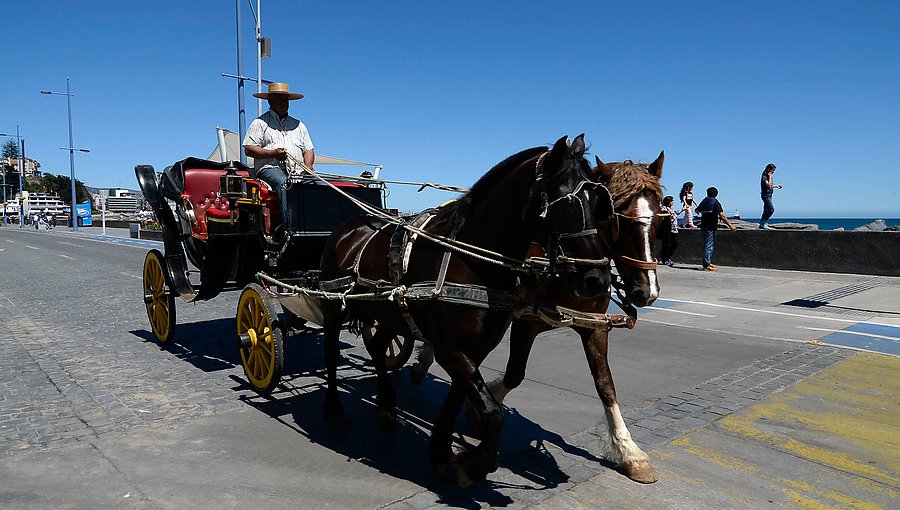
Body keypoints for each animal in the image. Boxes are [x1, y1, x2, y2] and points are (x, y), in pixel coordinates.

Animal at [316, 135, 612, 486]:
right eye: (562, 202)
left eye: (598, 203)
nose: (597, 278)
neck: (472, 262)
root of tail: (347, 228)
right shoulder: (450, 349)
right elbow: (492, 413)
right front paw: (475, 464)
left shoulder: (476, 349)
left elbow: (459, 399)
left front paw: (442, 454)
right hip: (333, 305)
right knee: (330, 351)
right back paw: (334, 410)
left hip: (391, 313)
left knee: (376, 346)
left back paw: (387, 407)